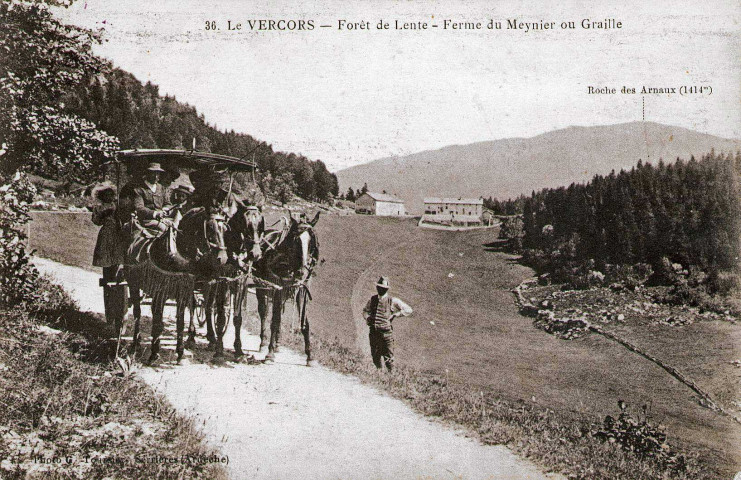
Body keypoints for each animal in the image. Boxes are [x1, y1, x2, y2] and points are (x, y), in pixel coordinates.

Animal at [124, 208, 228, 366]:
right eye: (210, 227)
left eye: (225, 229)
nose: (223, 258)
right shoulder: (160, 291)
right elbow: (158, 321)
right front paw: (154, 353)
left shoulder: (182, 291)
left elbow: (180, 321)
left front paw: (180, 352)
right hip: (133, 284)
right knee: (137, 312)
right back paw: (135, 343)